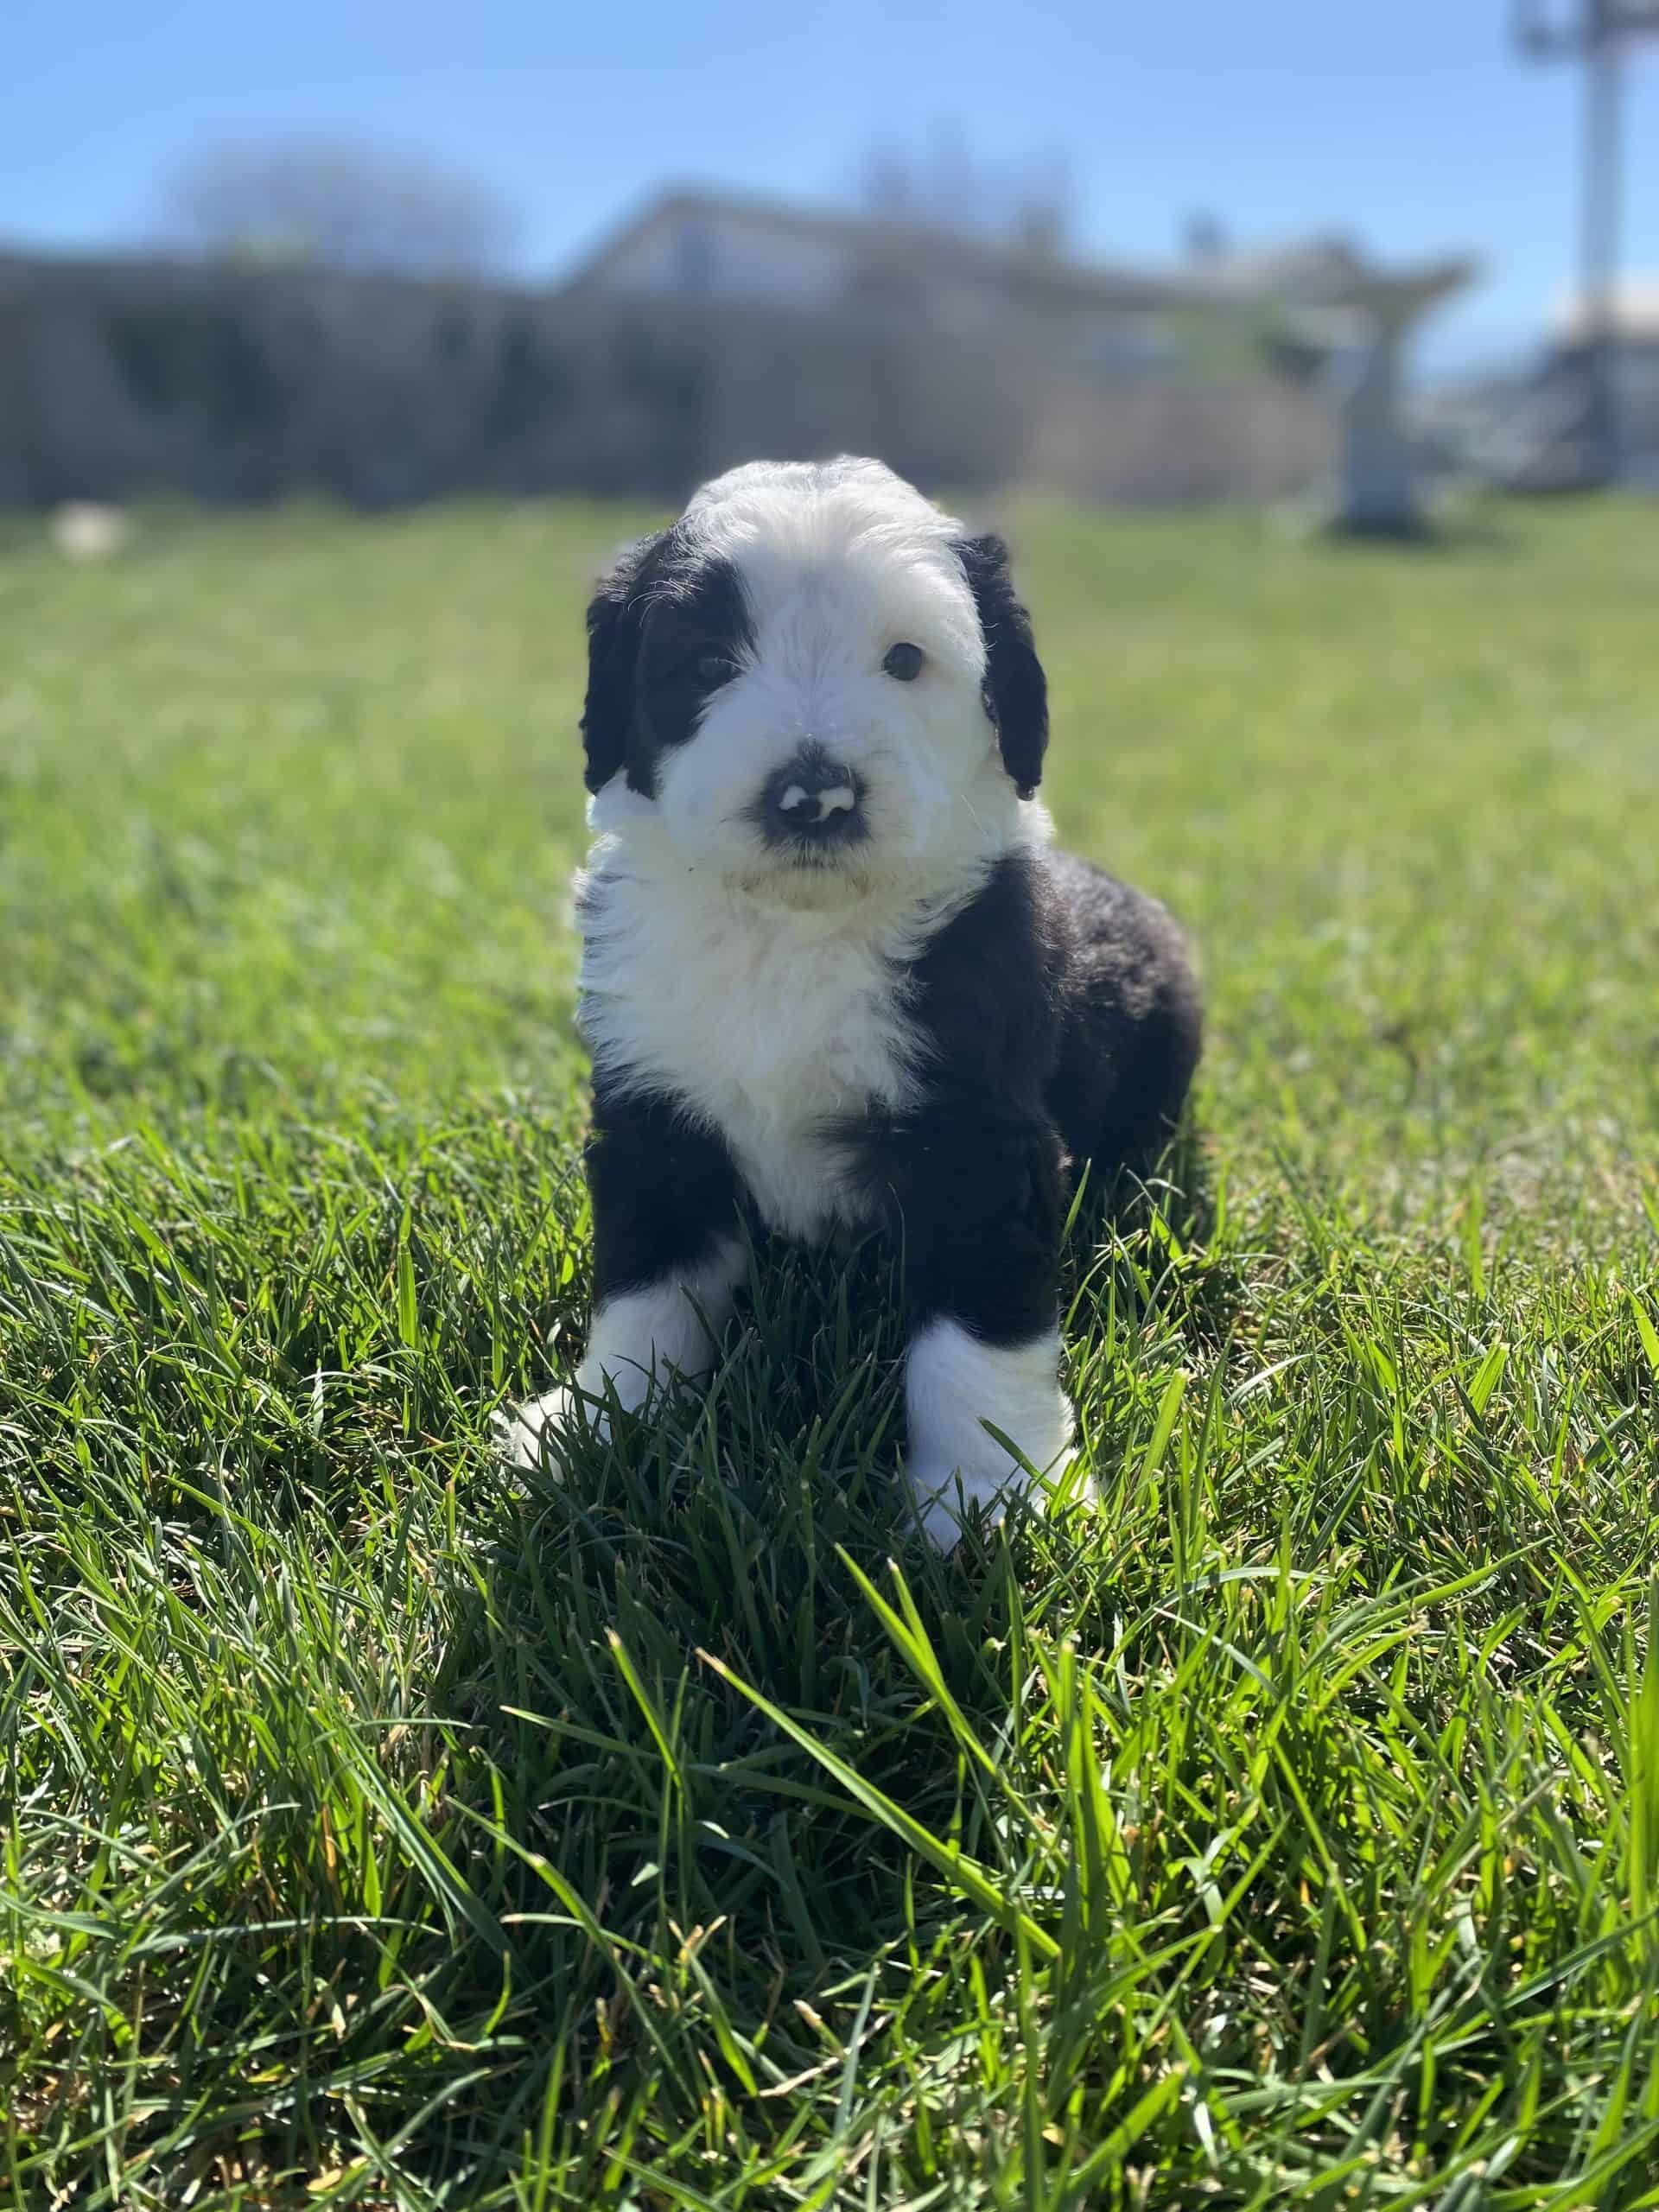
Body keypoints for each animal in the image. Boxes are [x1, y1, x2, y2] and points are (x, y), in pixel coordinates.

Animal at [512, 457, 1203, 1548]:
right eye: (706, 664)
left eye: (905, 660)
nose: (814, 795)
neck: (794, 933)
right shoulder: (654, 1102)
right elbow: (647, 1282)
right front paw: (600, 1423)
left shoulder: (974, 1135)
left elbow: (975, 1327)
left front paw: (989, 1492)